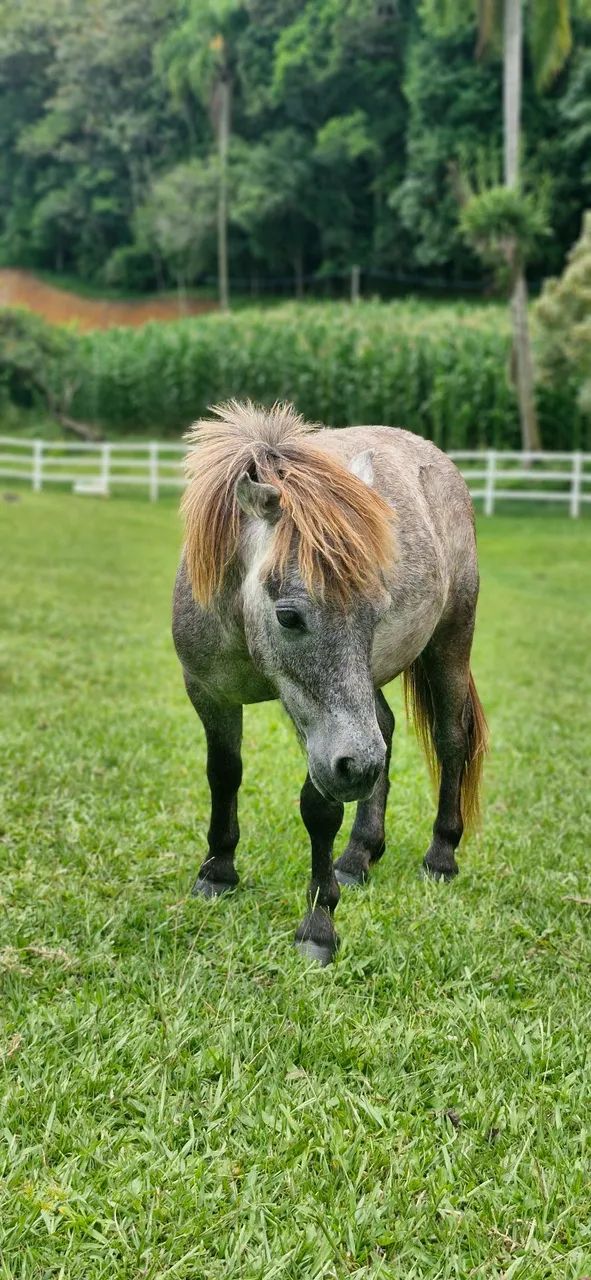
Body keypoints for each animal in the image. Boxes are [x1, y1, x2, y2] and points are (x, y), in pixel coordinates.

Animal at [172, 400, 488, 965]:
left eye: (377, 610)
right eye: (289, 616)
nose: (355, 768)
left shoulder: (317, 728)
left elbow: (319, 807)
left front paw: (318, 927)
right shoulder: (209, 693)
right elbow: (224, 774)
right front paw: (218, 871)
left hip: (451, 639)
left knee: (450, 740)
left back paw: (441, 856)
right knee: (385, 732)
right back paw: (360, 855)